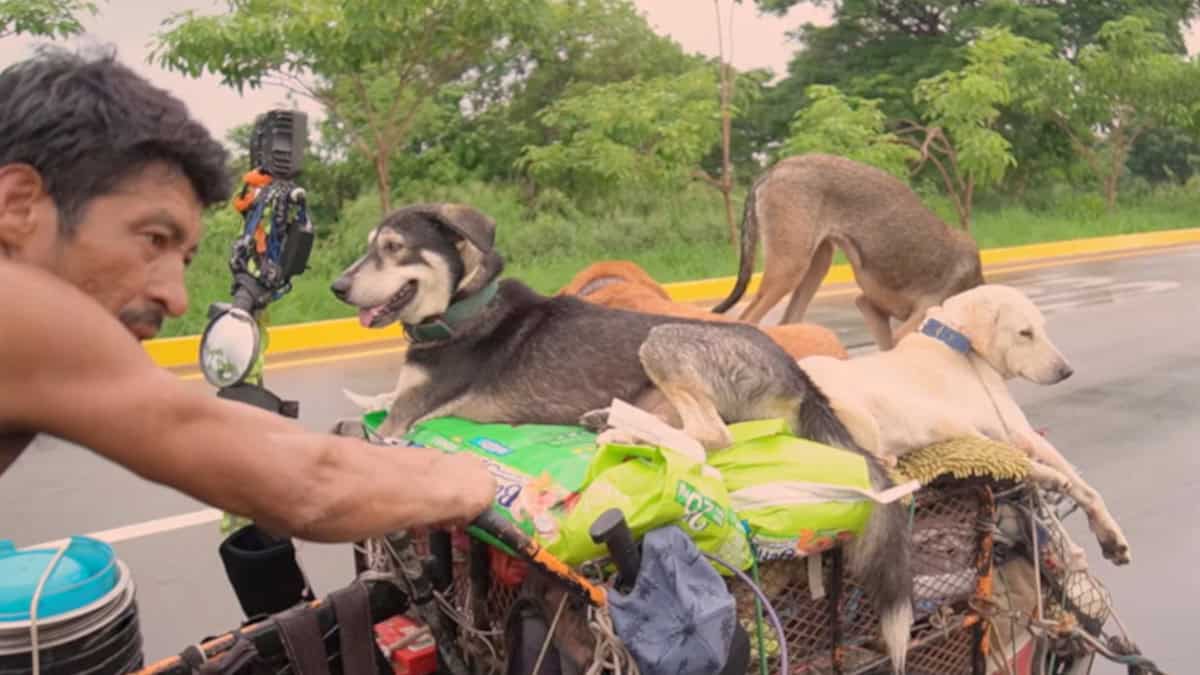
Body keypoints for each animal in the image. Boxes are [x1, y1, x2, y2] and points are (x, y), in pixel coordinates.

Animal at [801, 281, 1128, 564]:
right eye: (1025, 333)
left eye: (1042, 329)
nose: (1066, 371)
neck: (956, 340)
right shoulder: (1019, 433)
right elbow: (1082, 486)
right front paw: (1107, 533)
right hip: (861, 418)